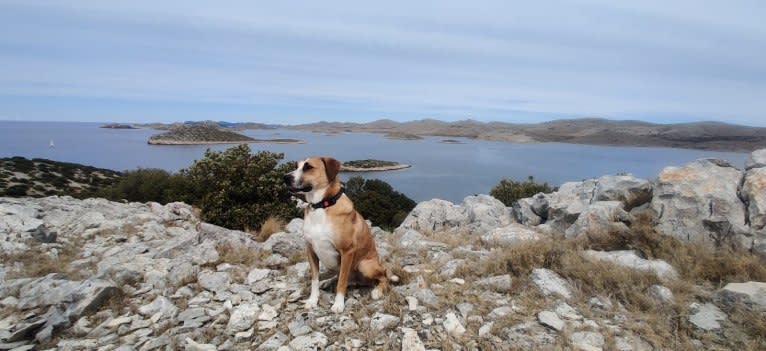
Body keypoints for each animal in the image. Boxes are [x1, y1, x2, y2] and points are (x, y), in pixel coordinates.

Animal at [284, 157, 400, 314]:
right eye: (296, 166)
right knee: (343, 279)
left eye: (308, 167)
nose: (285, 177)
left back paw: (377, 291)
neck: (322, 206)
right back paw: (326, 282)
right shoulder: (311, 251)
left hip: (364, 265)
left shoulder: (347, 252)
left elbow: (342, 282)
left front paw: (338, 304)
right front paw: (312, 300)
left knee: (382, 277)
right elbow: (314, 280)